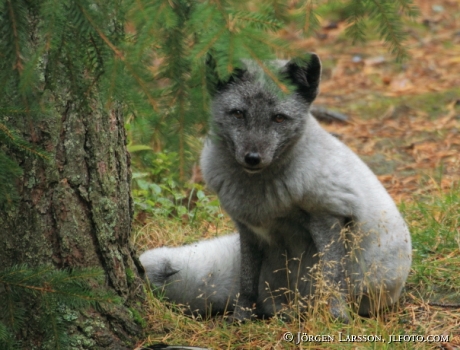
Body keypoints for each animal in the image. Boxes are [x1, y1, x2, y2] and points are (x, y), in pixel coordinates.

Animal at [138, 54, 412, 322]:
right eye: (238, 113)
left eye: (279, 117)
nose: (252, 158)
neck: (263, 199)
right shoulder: (247, 228)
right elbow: (247, 282)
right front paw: (240, 318)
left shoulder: (329, 215)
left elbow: (333, 278)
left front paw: (338, 318)